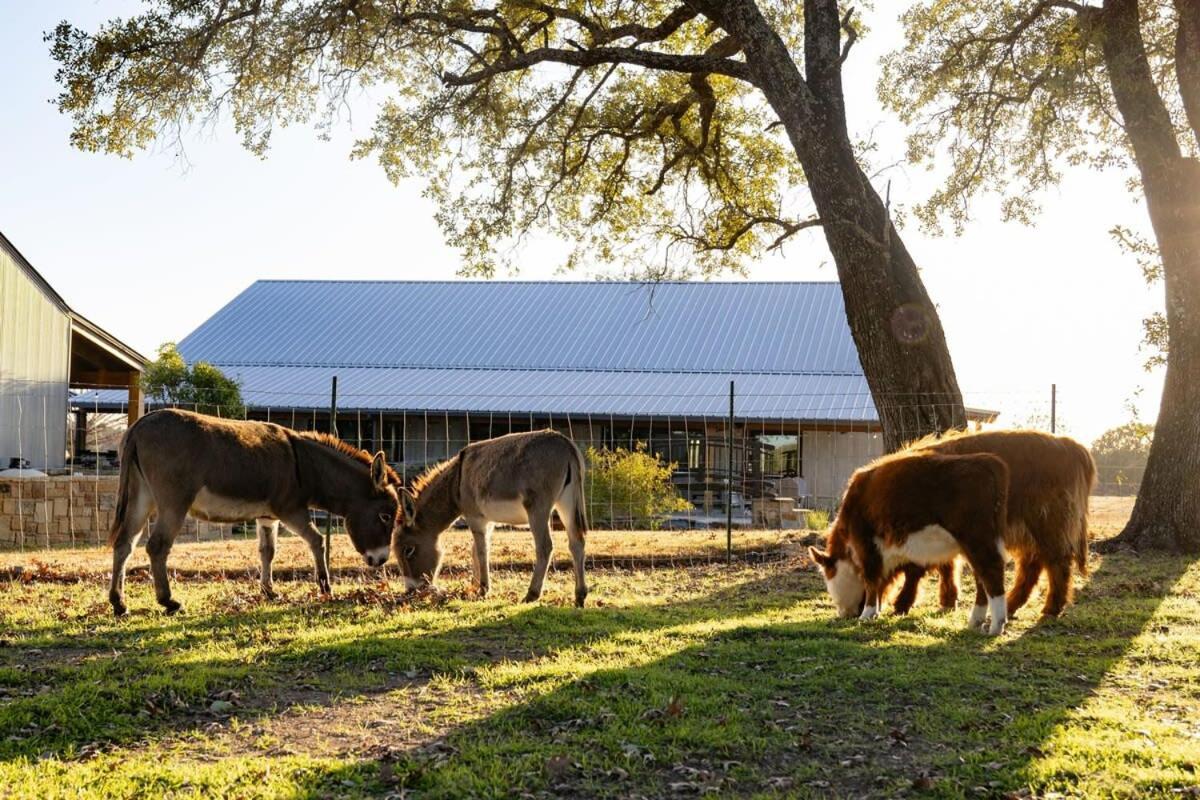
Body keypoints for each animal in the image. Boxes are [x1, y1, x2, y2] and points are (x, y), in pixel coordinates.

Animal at [806, 453, 1012, 633]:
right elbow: (880, 580)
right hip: (976, 545)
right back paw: (975, 621)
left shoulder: (865, 543)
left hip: (977, 540)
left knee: (991, 571)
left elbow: (871, 579)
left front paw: (868, 613)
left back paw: (996, 626)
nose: (843, 614)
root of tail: (987, 460)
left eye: (829, 576)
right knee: (981, 577)